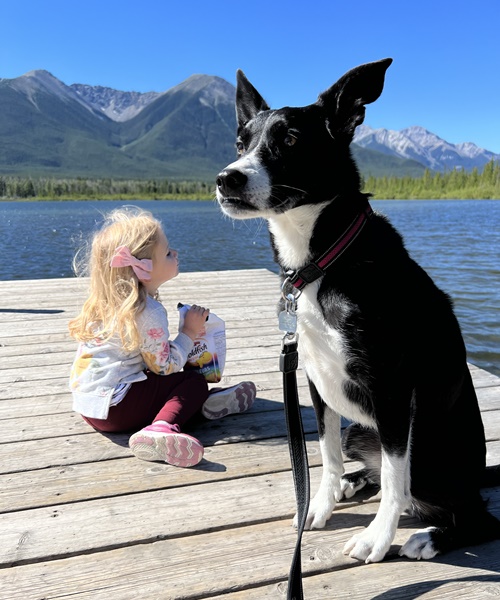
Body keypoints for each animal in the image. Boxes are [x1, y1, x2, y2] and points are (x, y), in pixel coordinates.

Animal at [216, 59, 500, 564]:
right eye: (240, 142)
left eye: (290, 139)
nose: (226, 178)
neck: (323, 260)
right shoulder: (317, 381)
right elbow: (326, 452)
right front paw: (320, 503)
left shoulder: (392, 390)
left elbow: (393, 476)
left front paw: (377, 537)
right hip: (360, 431)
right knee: (370, 466)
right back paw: (353, 482)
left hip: (426, 449)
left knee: (472, 513)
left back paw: (431, 537)